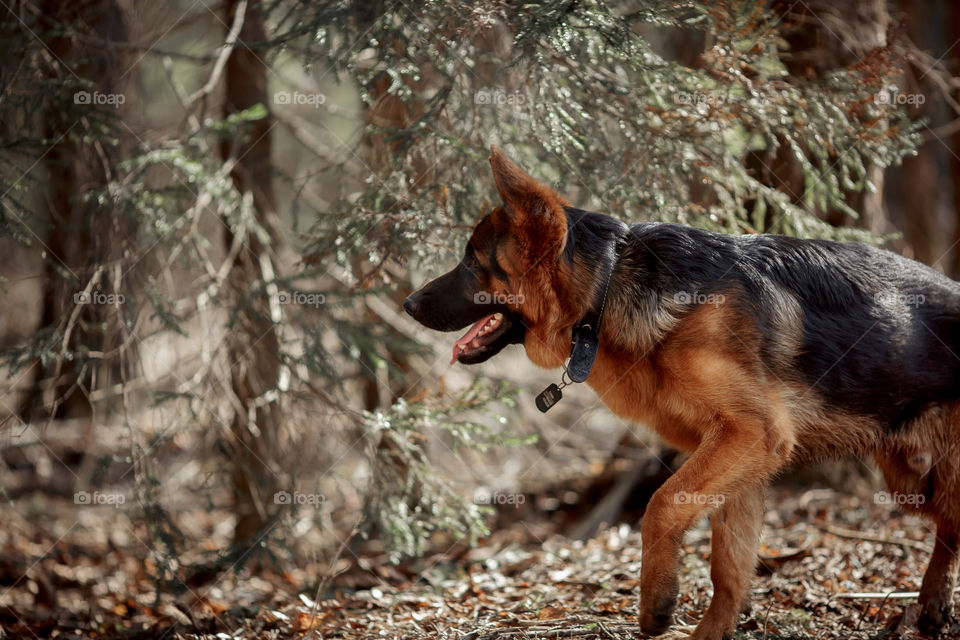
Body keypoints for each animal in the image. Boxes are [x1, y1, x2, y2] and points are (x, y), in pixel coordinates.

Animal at [402, 148, 956, 636]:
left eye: (472, 262)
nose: (407, 303)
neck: (607, 288)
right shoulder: (745, 463)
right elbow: (729, 569)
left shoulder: (752, 436)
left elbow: (661, 506)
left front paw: (656, 604)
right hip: (909, 477)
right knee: (951, 526)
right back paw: (931, 607)